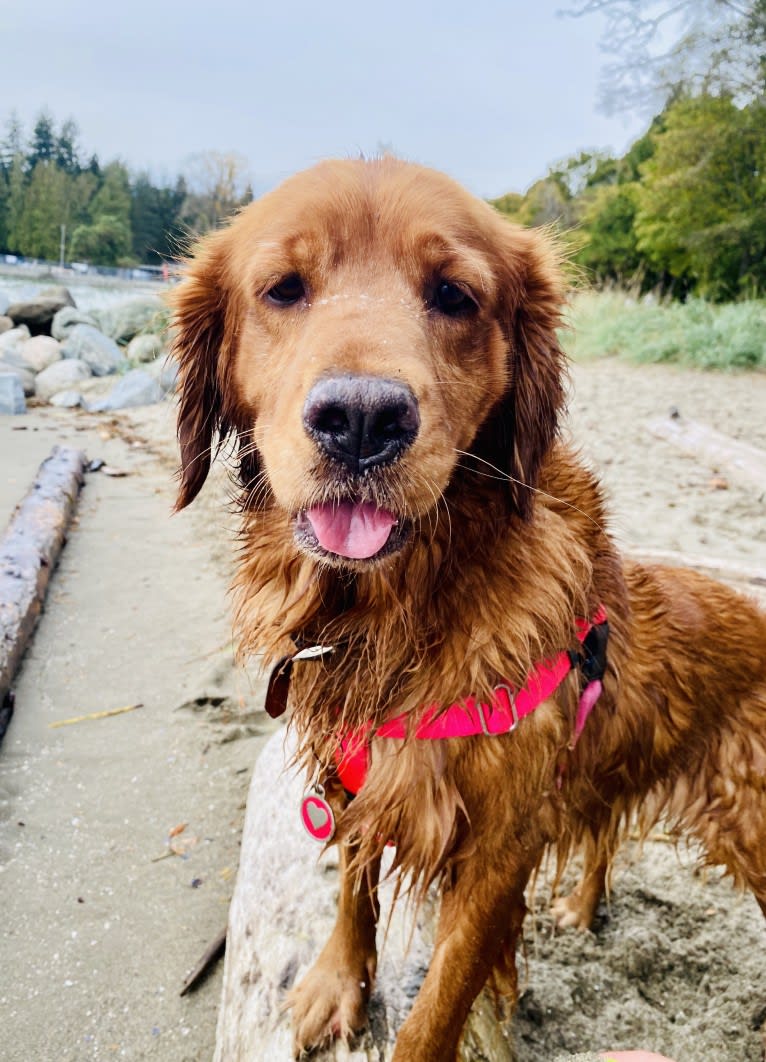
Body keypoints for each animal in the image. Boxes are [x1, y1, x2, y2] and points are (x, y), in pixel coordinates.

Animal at [172, 159, 764, 1062]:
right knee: (604, 837)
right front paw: (337, 982)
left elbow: (442, 1000)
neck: (394, 612)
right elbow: (353, 890)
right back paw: (583, 906)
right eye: (283, 289)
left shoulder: (497, 850)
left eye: (454, 295)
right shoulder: (356, 778)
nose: (362, 419)